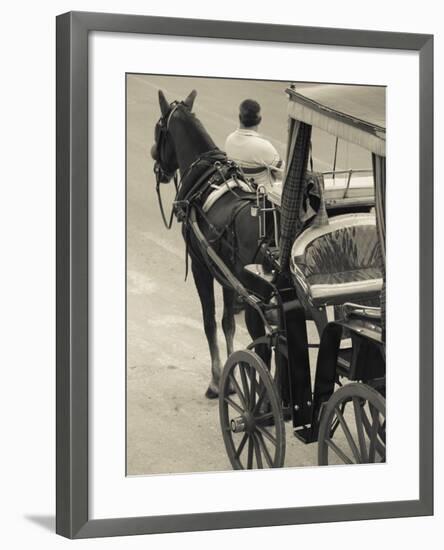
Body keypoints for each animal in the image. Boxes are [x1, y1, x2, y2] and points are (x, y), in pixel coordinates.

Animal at [151, 90, 268, 402]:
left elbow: (209, 321)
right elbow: (227, 322)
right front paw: (233, 378)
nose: (157, 163)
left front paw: (217, 382)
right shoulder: (226, 275)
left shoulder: (201, 266)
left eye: (158, 129)